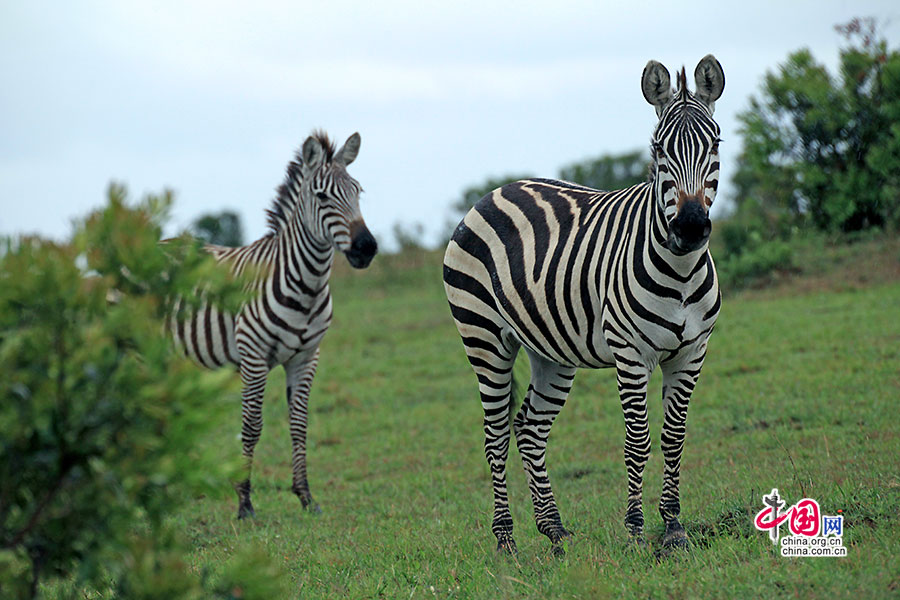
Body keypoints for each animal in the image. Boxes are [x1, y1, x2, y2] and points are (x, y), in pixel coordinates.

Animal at [171, 131, 376, 520]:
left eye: (358, 191)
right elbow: (251, 427)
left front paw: (306, 497)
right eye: (321, 196)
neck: (307, 286)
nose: (366, 248)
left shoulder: (306, 357)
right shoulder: (254, 357)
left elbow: (299, 424)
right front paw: (245, 503)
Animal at [446, 56, 728, 552]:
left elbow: (674, 437)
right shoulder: (631, 353)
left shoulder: (693, 351)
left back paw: (554, 530)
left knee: (530, 429)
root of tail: (494, 192)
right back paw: (506, 540)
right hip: (484, 338)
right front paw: (635, 530)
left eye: (714, 144)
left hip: (549, 350)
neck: (680, 271)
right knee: (495, 435)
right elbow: (638, 439)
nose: (691, 227)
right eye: (658, 150)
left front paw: (673, 526)